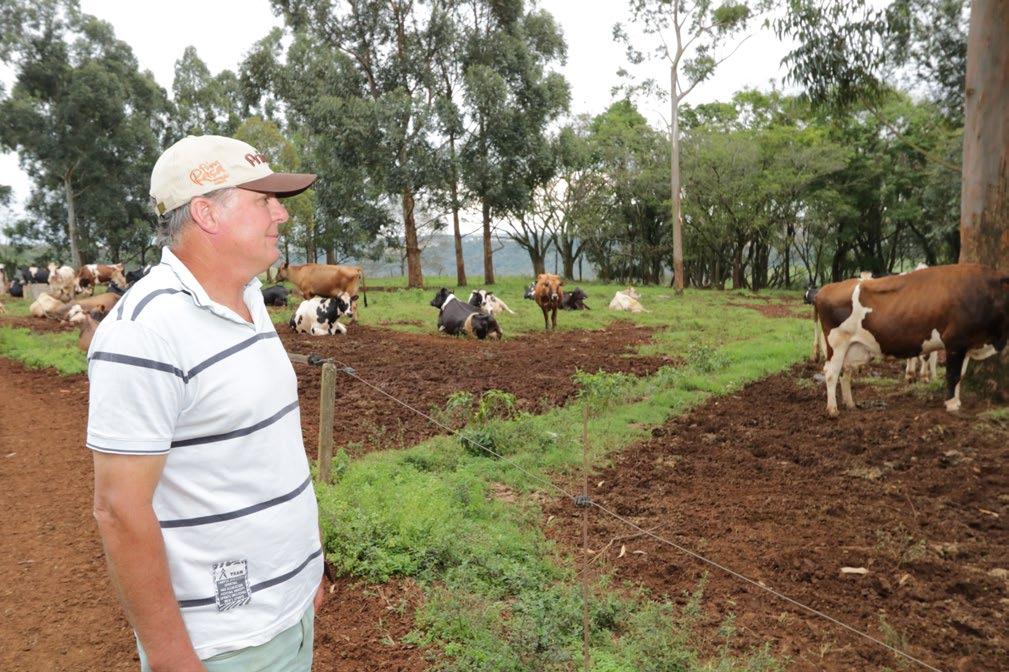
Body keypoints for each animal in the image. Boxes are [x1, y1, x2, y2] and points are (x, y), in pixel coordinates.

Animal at [811, 262, 1008, 413]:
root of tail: (826, 288)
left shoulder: (967, 344)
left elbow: (961, 375)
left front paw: (957, 401)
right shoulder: (955, 342)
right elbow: (952, 375)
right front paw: (952, 405)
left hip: (852, 347)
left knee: (846, 372)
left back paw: (850, 404)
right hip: (837, 343)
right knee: (831, 372)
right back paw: (833, 409)